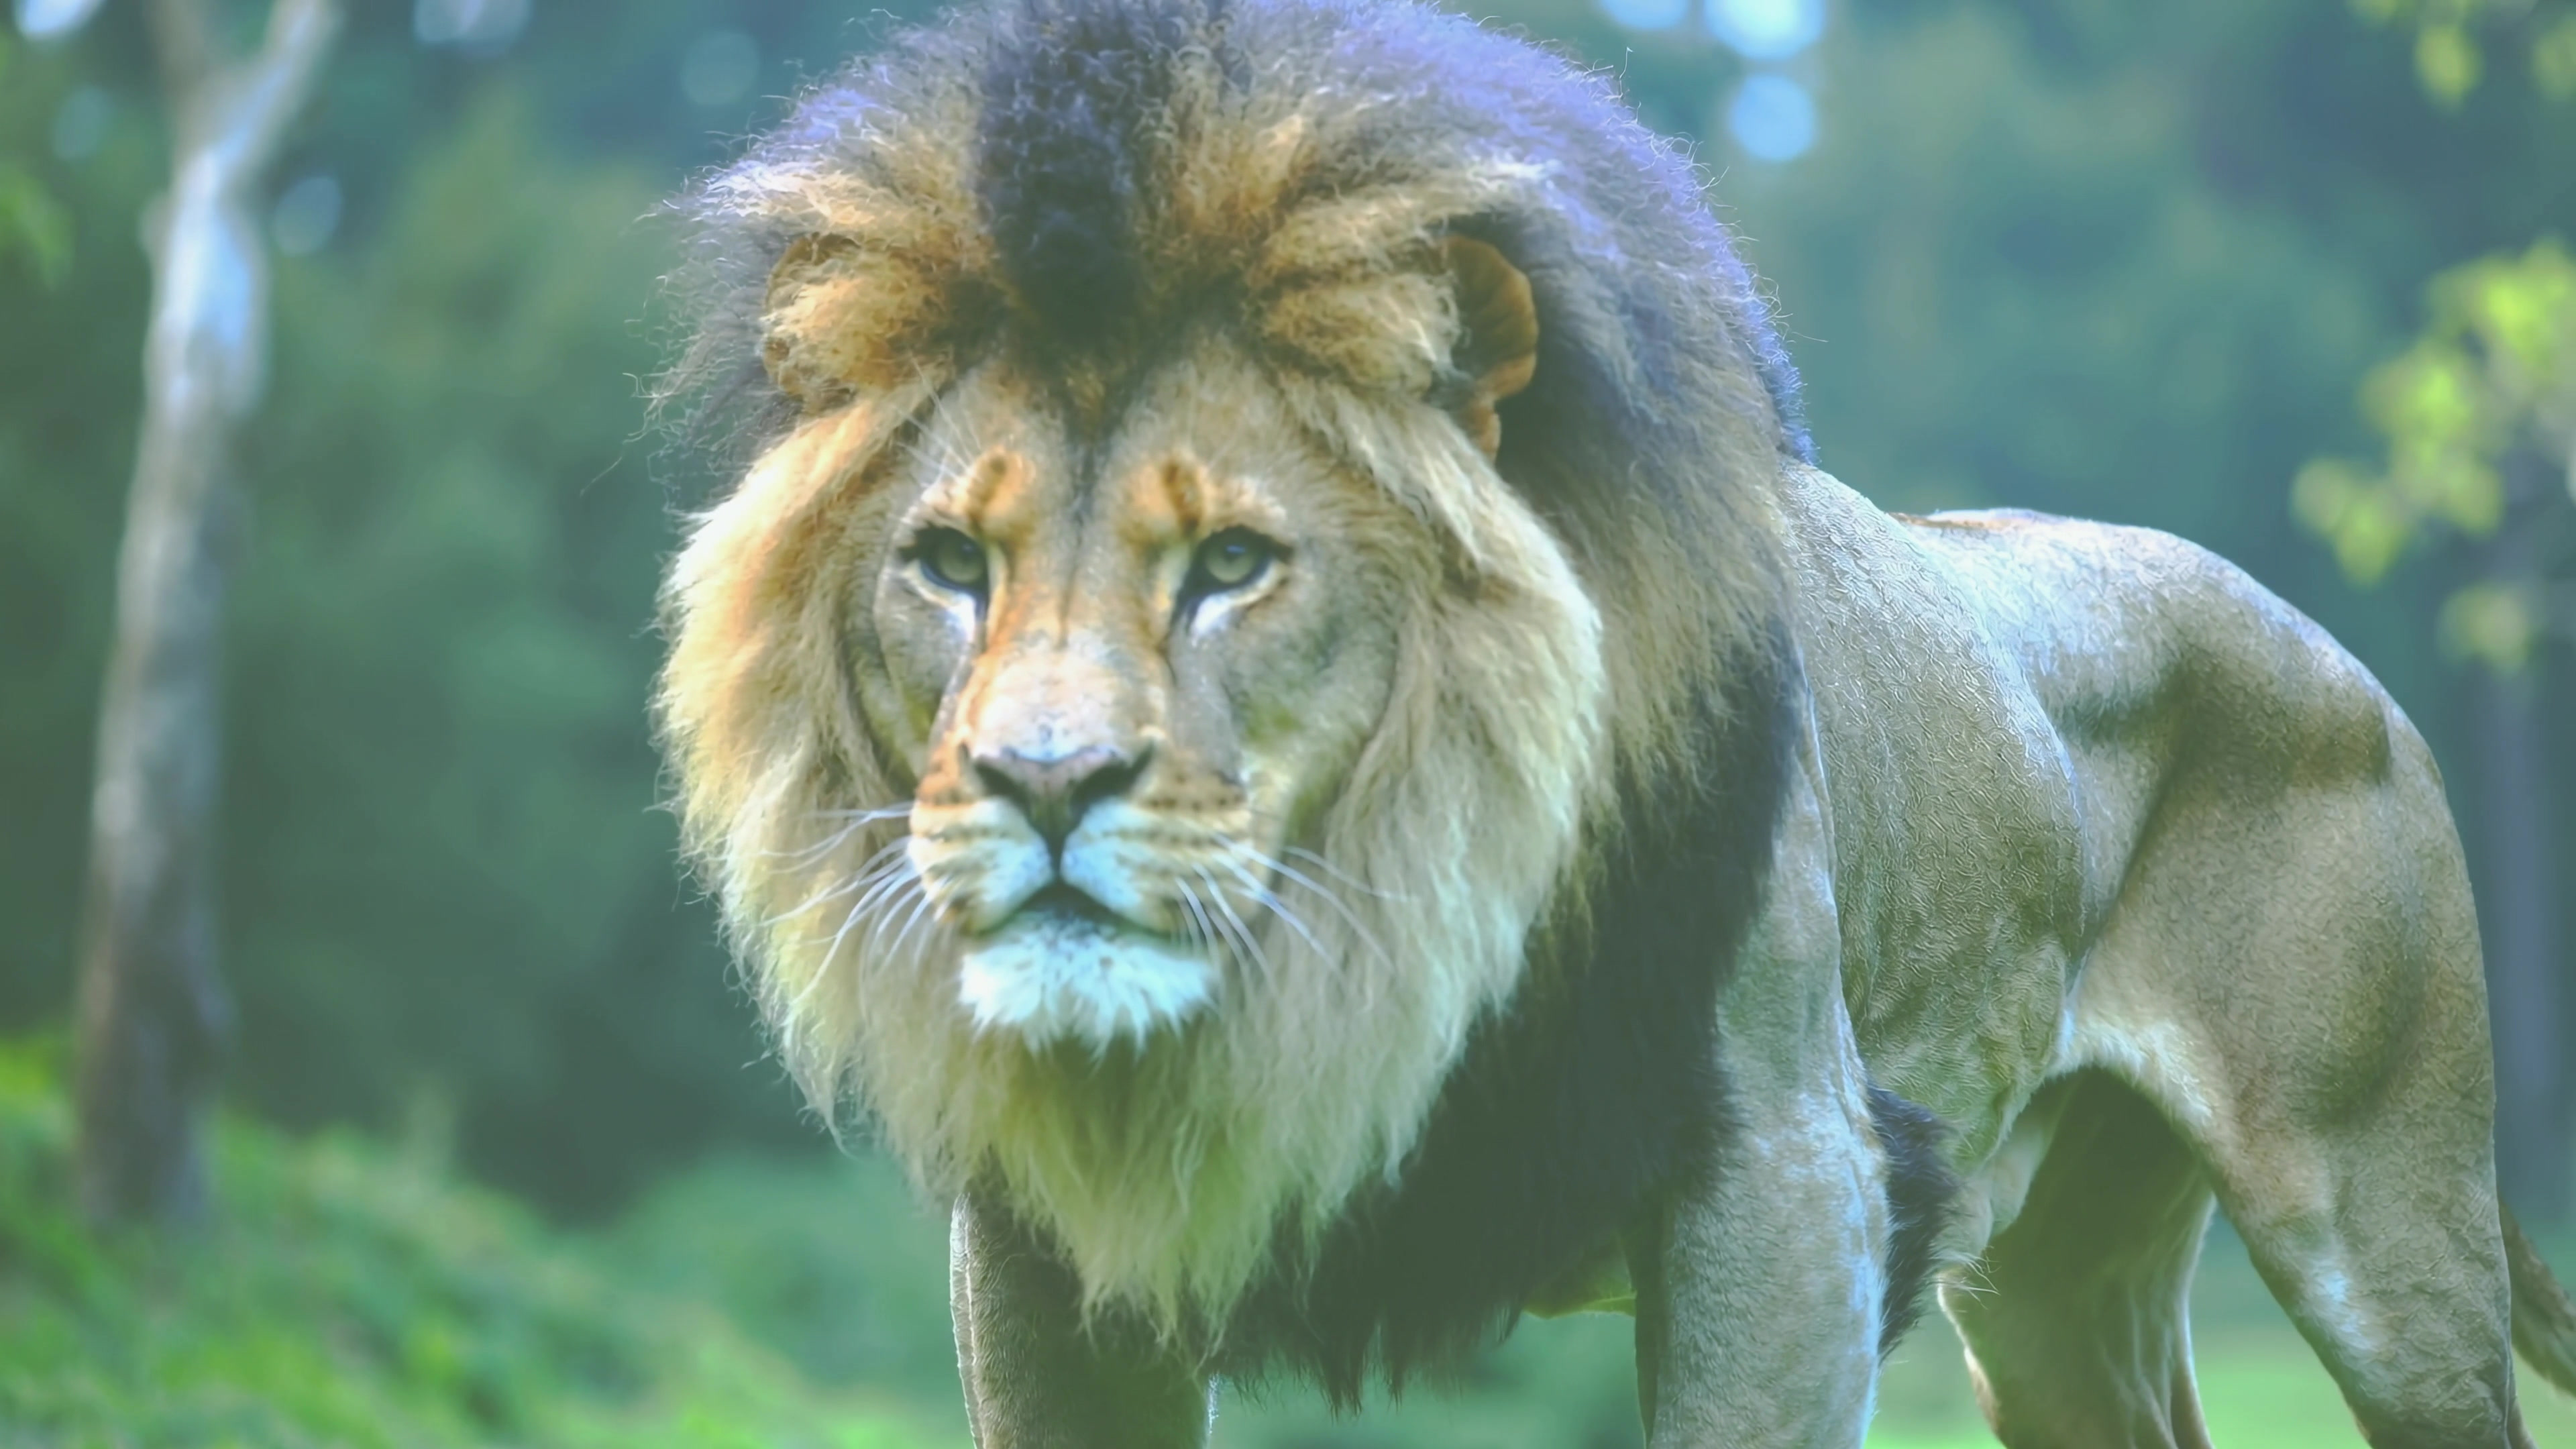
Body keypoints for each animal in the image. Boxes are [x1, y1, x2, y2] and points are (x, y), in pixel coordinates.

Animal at [651, 0, 2576, 1442]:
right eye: (948, 566)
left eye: (1234, 564)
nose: (1043, 785)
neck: (1374, 926)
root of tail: (2339, 657)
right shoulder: (1045, 1254)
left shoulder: (1789, 1177)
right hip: (2057, 1288)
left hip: (2381, 1234)